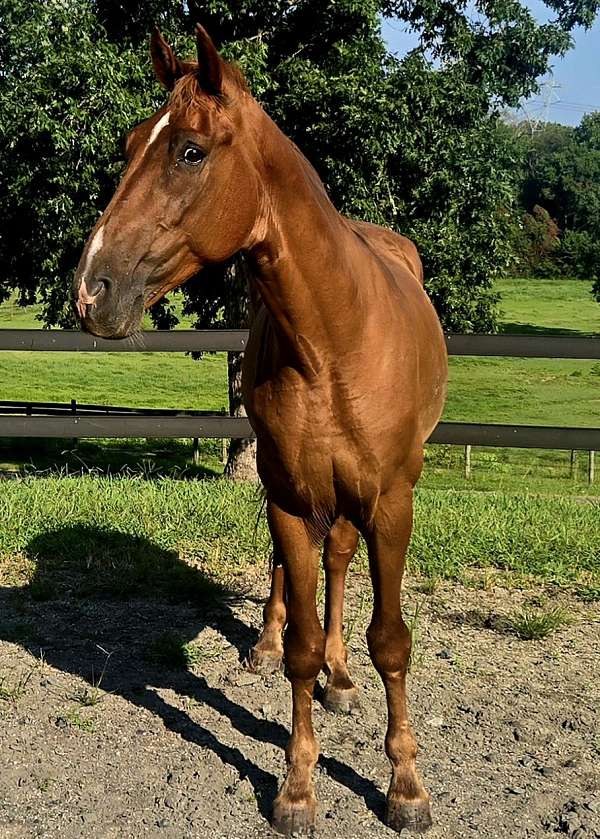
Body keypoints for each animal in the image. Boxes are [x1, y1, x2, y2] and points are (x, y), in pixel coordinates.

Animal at [73, 25, 448, 836]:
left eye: (189, 151)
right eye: (129, 142)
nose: (92, 289)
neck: (336, 335)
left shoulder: (392, 504)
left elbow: (391, 641)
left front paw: (405, 784)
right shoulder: (289, 496)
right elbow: (302, 643)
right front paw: (298, 786)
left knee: (341, 563)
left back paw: (344, 678)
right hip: (293, 489)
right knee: (305, 571)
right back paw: (271, 648)